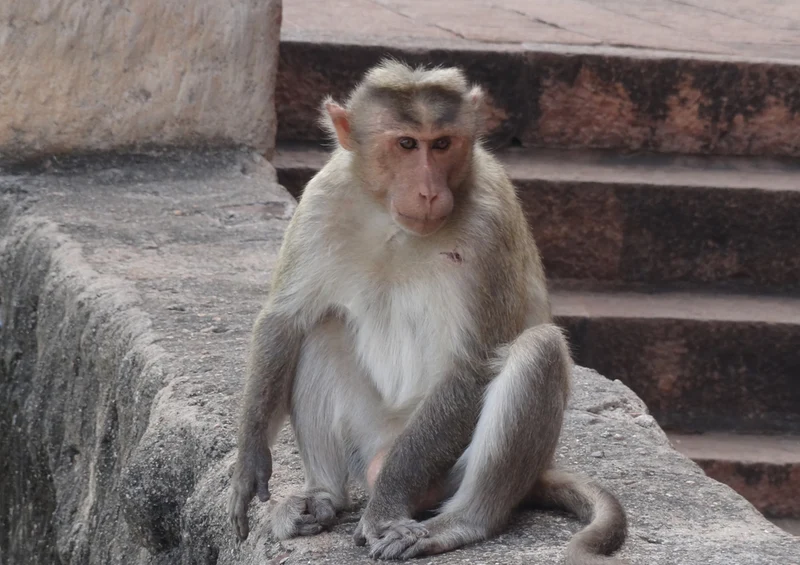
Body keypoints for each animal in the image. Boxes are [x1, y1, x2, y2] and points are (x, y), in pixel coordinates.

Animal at [228, 59, 628, 563]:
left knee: (540, 349)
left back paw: (460, 521)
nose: (429, 191)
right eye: (406, 144)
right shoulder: (323, 196)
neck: (391, 220)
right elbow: (286, 320)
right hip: (368, 432)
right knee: (322, 328)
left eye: (441, 144)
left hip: (443, 472)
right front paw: (249, 459)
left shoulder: (490, 220)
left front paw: (384, 511)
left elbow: (472, 364)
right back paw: (322, 496)